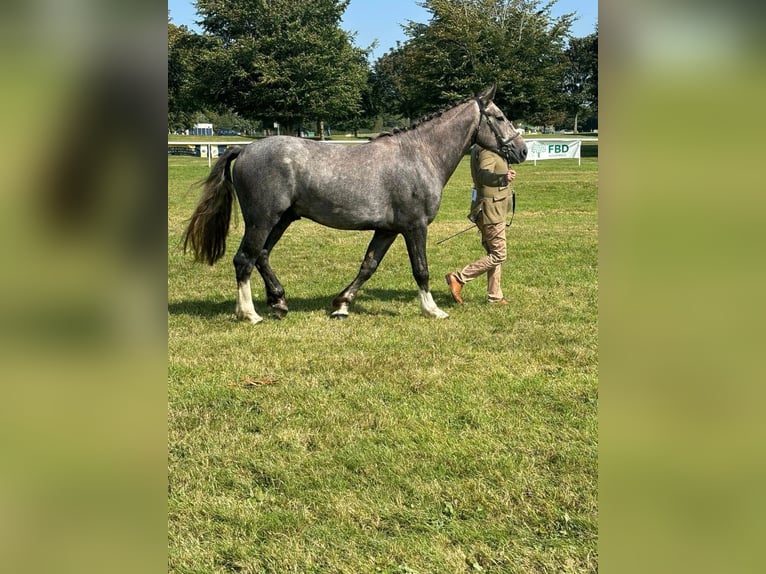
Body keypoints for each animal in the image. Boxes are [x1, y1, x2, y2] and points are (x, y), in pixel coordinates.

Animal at [182, 84, 528, 324]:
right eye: (500, 117)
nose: (522, 151)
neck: (419, 155)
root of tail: (243, 149)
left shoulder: (388, 230)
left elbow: (368, 266)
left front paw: (341, 305)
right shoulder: (415, 227)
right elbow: (421, 270)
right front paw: (432, 310)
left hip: (281, 219)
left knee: (261, 256)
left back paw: (278, 303)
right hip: (263, 219)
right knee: (244, 259)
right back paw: (249, 314)